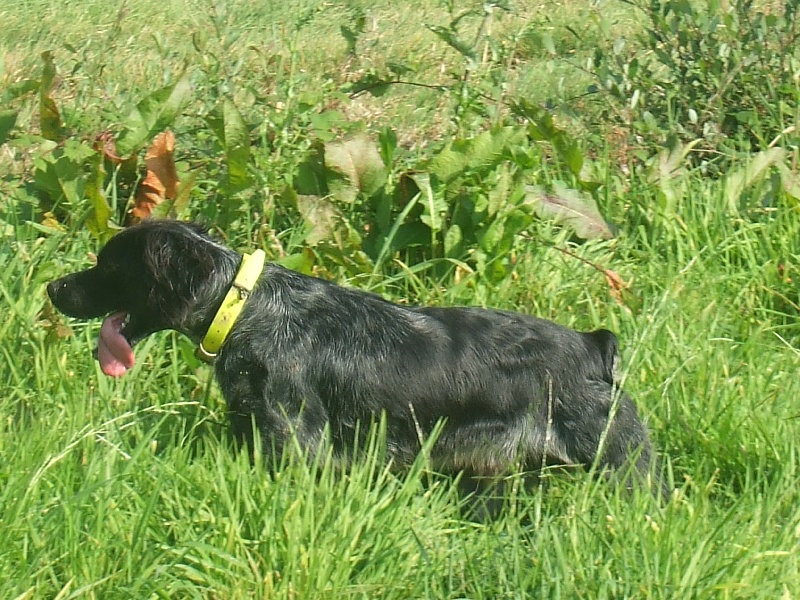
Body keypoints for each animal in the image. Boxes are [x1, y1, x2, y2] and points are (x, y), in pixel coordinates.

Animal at [47, 220, 664, 502]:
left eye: (108, 265)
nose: (52, 288)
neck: (243, 309)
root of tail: (594, 346)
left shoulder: (296, 443)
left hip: (622, 470)